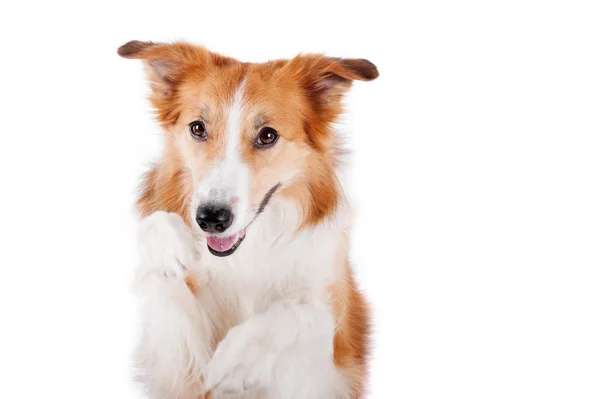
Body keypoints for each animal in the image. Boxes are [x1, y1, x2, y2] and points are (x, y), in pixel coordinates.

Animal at [118, 41, 376, 399]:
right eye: (198, 128)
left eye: (267, 135)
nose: (211, 219)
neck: (248, 252)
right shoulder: (176, 369)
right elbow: (158, 271)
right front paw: (170, 247)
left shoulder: (328, 364)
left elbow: (301, 310)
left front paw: (237, 358)